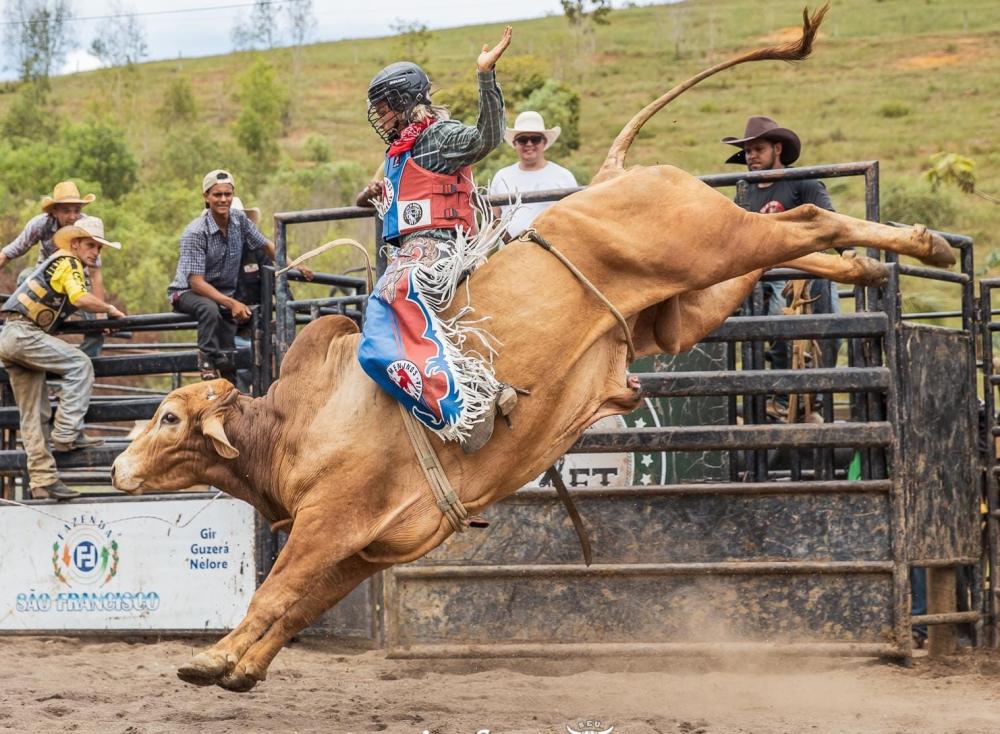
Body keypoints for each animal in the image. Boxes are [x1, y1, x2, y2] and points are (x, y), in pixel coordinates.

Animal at [109, 4, 952, 696]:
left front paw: (212, 658)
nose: (115, 470)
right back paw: (873, 265)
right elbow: (295, 605)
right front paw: (240, 666)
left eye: (169, 420)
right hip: (685, 305)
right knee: (793, 241)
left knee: (805, 216)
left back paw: (921, 243)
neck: (297, 425)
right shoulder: (365, 549)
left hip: (709, 238)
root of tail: (615, 175)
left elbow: (277, 591)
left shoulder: (331, 523)